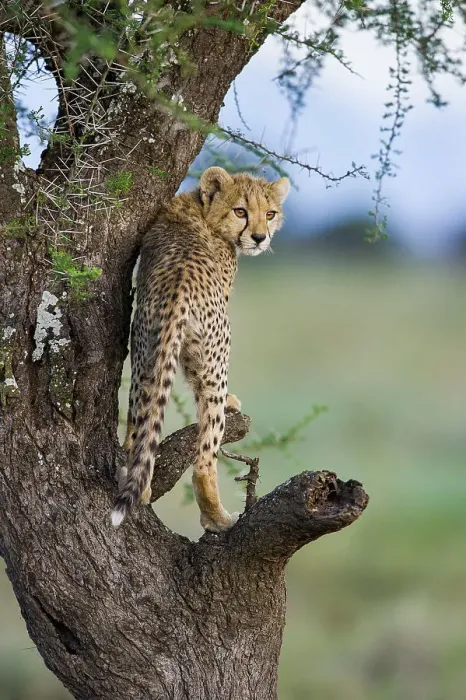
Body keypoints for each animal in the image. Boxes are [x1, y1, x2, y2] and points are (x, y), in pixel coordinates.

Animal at [111, 166, 290, 532]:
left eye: (270, 213)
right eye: (240, 211)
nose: (260, 238)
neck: (200, 207)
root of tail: (178, 287)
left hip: (144, 358)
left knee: (138, 429)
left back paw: (141, 486)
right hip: (215, 361)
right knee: (205, 456)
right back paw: (218, 519)